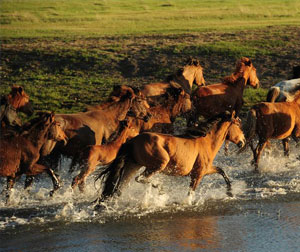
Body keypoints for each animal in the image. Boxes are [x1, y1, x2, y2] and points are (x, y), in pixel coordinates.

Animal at [96, 111, 244, 204]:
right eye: (238, 124)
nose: (243, 141)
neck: (206, 141)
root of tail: (133, 140)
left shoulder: (206, 170)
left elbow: (222, 171)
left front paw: (230, 193)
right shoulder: (198, 174)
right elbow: (190, 193)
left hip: (133, 166)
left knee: (119, 189)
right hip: (158, 164)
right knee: (141, 179)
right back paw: (160, 190)